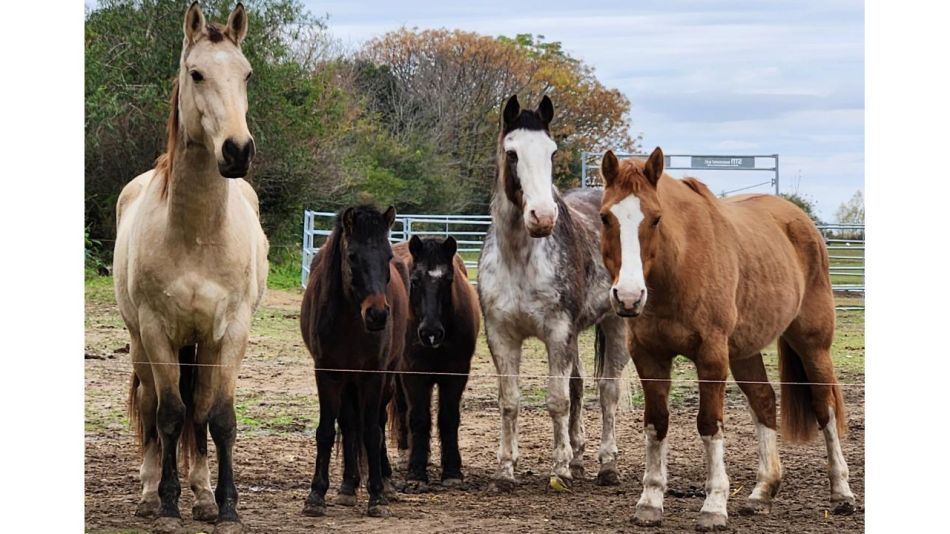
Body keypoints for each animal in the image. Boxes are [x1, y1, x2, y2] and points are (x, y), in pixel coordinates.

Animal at [114, 4, 266, 533]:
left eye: (246, 74)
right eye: (196, 73)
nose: (237, 151)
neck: (197, 235)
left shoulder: (231, 332)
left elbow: (217, 417)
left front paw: (223, 505)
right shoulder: (157, 330)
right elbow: (168, 414)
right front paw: (166, 502)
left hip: (201, 345)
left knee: (198, 411)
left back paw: (200, 492)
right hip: (142, 342)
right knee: (152, 406)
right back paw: (147, 492)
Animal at [300, 205, 409, 518]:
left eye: (386, 256)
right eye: (352, 256)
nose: (378, 314)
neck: (349, 321)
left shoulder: (373, 374)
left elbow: (372, 432)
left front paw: (377, 496)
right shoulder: (327, 372)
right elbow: (326, 431)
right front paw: (316, 495)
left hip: (385, 378)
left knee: (378, 422)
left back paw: (386, 482)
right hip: (347, 380)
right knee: (349, 423)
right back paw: (348, 485)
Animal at [389, 235, 480, 491]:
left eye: (448, 280)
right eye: (415, 280)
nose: (430, 333)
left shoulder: (456, 375)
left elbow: (449, 418)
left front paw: (452, 472)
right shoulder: (414, 374)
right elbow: (419, 418)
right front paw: (416, 473)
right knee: (402, 407)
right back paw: (404, 453)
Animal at [477, 95, 631, 491]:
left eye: (552, 152)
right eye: (512, 153)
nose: (543, 217)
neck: (519, 258)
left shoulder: (557, 331)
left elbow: (556, 400)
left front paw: (559, 470)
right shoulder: (501, 335)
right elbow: (510, 401)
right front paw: (505, 471)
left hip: (616, 322)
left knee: (608, 391)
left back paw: (606, 466)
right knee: (579, 386)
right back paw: (579, 458)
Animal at [597, 147, 856, 531]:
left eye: (656, 218)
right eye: (604, 217)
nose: (628, 297)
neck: (678, 268)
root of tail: (800, 221)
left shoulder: (712, 355)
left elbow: (709, 424)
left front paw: (714, 506)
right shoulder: (648, 356)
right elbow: (656, 423)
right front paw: (650, 501)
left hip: (813, 344)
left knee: (824, 407)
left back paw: (842, 493)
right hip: (745, 351)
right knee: (764, 401)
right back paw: (762, 492)